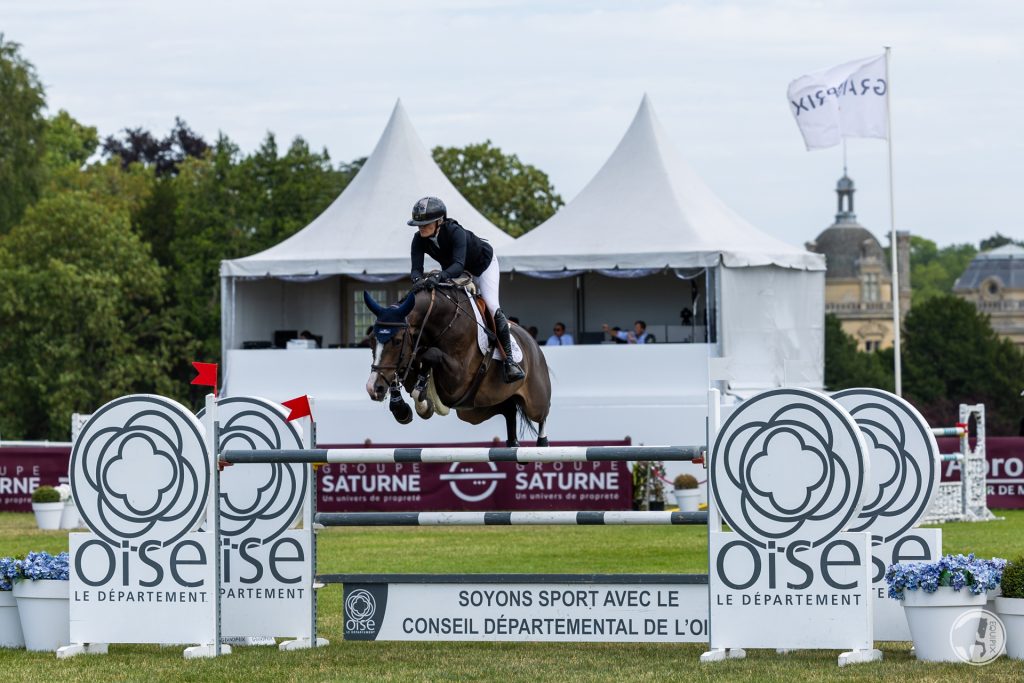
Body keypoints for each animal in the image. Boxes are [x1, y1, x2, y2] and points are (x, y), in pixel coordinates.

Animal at [362, 284, 552, 448]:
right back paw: (513, 445)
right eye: (371, 340)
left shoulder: (458, 381)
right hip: (477, 410)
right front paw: (402, 408)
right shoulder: (409, 359)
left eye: (397, 341)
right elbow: (401, 371)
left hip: (534, 401)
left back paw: (542, 444)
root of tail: (532, 342)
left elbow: (431, 355)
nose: (373, 388)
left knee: (542, 414)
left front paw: (422, 400)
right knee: (509, 410)